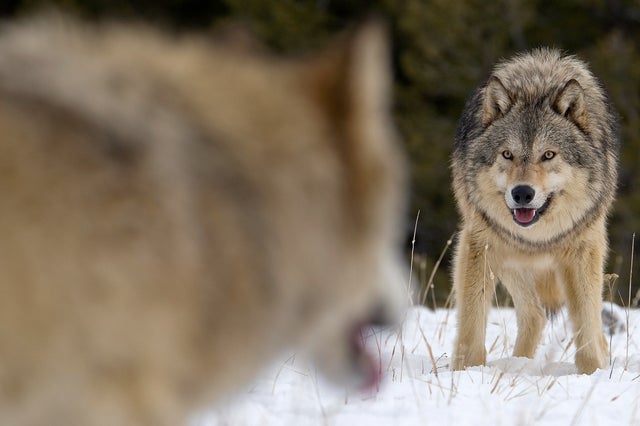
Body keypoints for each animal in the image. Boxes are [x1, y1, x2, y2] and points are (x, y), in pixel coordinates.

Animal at [451, 48, 619, 374]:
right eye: (507, 154)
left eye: (548, 155)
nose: (522, 193)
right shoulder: (478, 246)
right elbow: (471, 325)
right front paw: (464, 372)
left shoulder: (583, 250)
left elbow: (588, 326)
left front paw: (592, 373)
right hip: (510, 259)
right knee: (536, 315)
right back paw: (518, 364)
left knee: (576, 323)